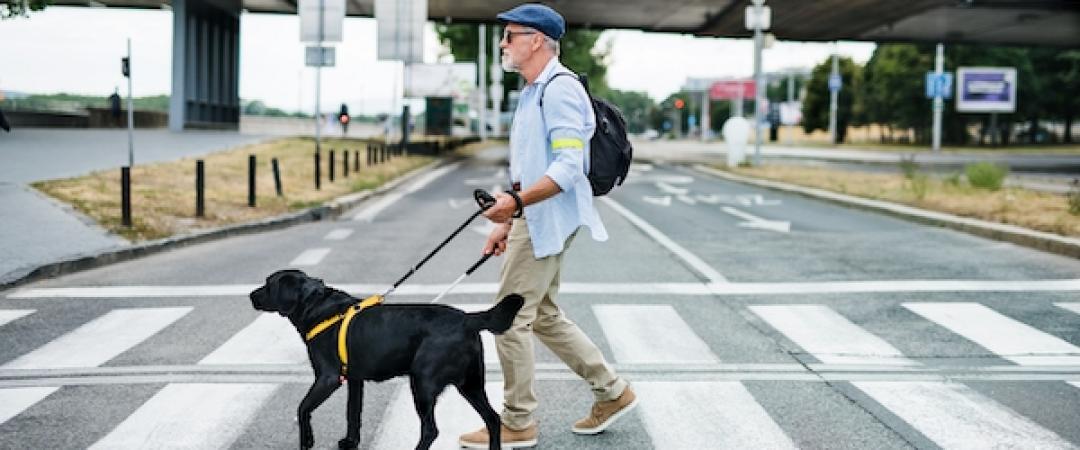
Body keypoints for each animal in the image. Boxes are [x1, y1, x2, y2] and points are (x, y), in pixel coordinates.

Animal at [252, 268, 522, 448]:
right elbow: (352, 414)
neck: (315, 305)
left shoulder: (328, 378)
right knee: (493, 419)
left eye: (268, 284)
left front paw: (306, 440)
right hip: (471, 383)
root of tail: (468, 318)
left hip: (422, 383)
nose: (251, 295)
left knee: (431, 430)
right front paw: (350, 442)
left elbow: (302, 408)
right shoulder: (355, 380)